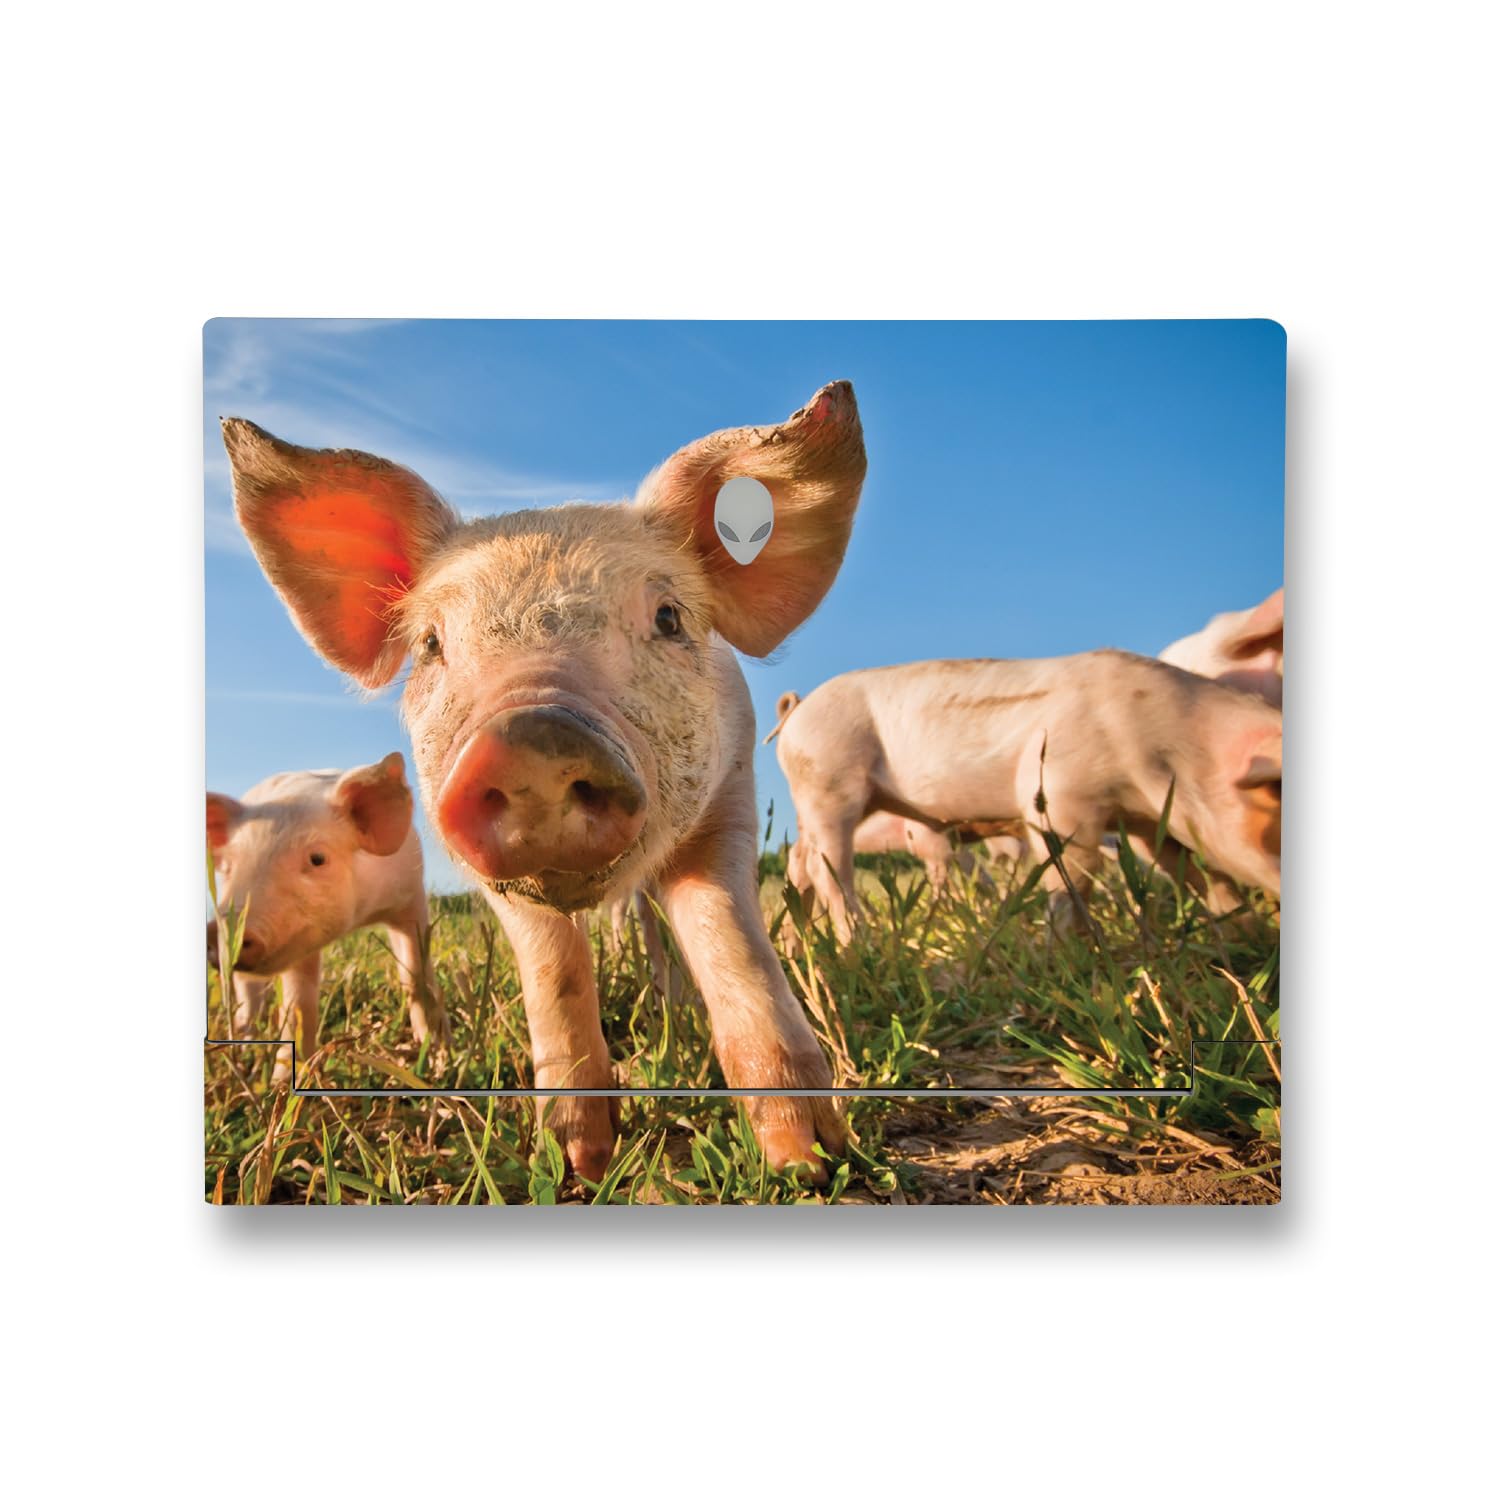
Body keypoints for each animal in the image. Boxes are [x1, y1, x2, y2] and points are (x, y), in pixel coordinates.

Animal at [206, 753, 447, 1081]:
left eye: (317, 858)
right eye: (229, 868)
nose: (219, 934)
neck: (360, 915)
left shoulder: (411, 897)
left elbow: (415, 973)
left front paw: (437, 1057)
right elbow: (299, 1004)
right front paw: (283, 1084)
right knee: (248, 996)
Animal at [774, 651, 1281, 943]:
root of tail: (799, 709)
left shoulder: (1146, 823)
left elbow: (1199, 873)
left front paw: (1248, 933)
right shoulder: (1057, 794)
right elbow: (1074, 873)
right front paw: (1062, 949)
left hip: (813, 803)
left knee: (798, 864)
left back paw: (801, 945)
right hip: (829, 782)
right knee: (827, 869)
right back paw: (859, 945)